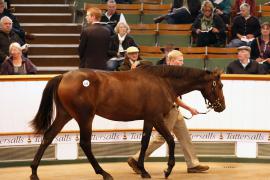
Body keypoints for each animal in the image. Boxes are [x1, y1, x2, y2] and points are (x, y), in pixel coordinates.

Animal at [29, 65, 225, 180]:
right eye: (220, 85)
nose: (222, 107)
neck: (162, 81)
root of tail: (63, 77)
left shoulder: (148, 118)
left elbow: (145, 143)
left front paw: (142, 170)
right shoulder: (156, 117)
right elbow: (169, 140)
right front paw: (167, 170)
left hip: (65, 115)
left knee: (48, 137)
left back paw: (34, 172)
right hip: (85, 117)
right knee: (85, 143)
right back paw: (104, 173)